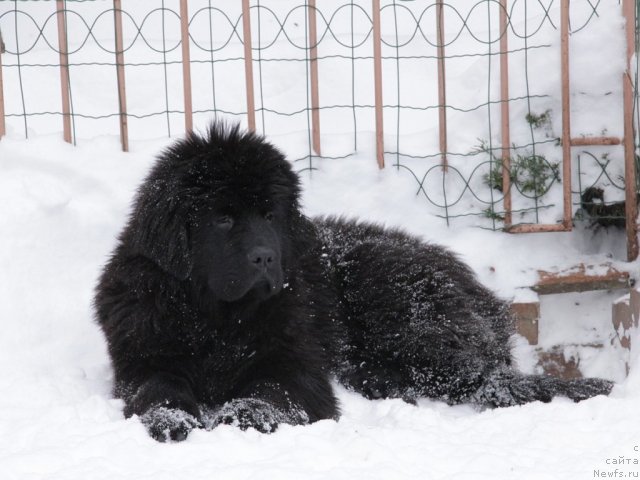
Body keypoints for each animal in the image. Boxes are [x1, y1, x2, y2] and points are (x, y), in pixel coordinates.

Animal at [94, 122, 608, 440]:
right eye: (222, 218)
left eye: (269, 215)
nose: (265, 257)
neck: (218, 318)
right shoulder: (144, 358)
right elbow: (156, 389)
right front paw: (170, 419)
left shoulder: (296, 364)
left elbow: (271, 390)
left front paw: (244, 415)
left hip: (389, 290)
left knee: (481, 378)